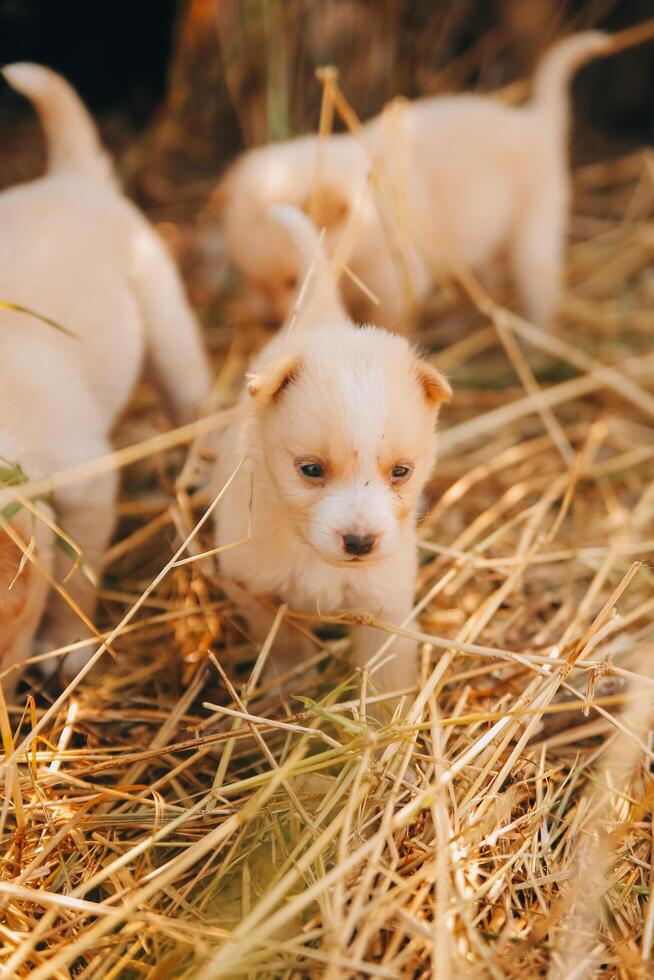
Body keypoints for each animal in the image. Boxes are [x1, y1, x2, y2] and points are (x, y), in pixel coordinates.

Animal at [0, 63, 211, 688]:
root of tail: (70, 179)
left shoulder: (88, 482)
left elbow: (77, 570)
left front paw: (66, 642)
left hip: (168, 326)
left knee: (191, 399)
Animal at [213, 207, 454, 708]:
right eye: (310, 471)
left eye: (401, 472)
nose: (360, 543)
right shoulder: (255, 588)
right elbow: (284, 647)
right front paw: (286, 689)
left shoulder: (384, 605)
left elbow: (386, 677)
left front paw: (386, 721)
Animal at [220, 31, 616, 334]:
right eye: (246, 277)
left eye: (292, 282)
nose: (267, 323)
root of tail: (533, 120)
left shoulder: (397, 285)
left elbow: (389, 323)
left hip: (535, 234)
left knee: (543, 289)